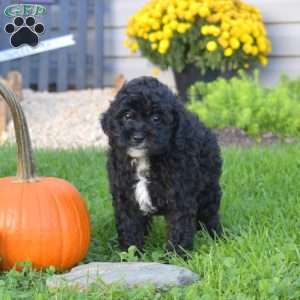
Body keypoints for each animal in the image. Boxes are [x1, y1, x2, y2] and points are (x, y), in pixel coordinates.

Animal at [102, 76, 221, 252]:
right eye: (127, 116)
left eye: (156, 119)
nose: (138, 137)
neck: (145, 159)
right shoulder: (125, 196)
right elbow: (129, 226)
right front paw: (131, 252)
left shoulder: (180, 197)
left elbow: (179, 228)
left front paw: (176, 254)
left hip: (208, 188)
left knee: (209, 214)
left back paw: (216, 236)